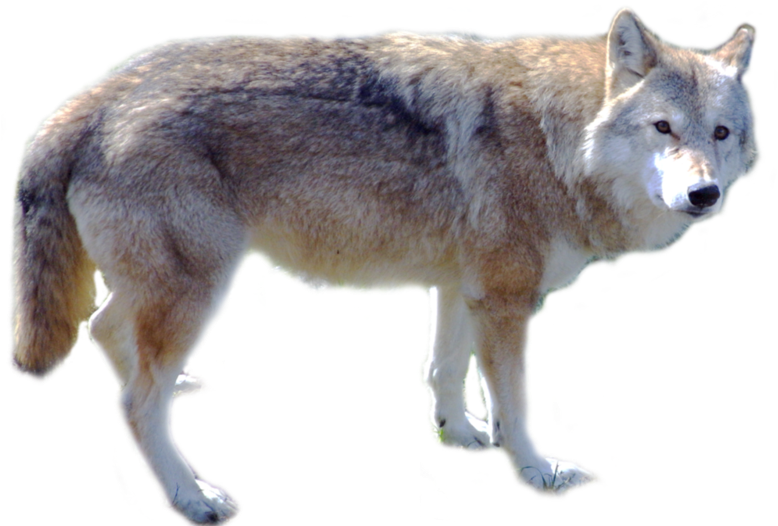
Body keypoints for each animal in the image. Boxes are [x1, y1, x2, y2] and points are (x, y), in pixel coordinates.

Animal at [8, 6, 758, 522]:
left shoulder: (461, 286)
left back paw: (177, 395)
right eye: (663, 128)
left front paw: (461, 437)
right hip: (205, 286)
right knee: (134, 401)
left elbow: (443, 371)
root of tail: (90, 97)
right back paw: (193, 499)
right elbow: (515, 406)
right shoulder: (507, 298)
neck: (560, 138)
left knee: (108, 335)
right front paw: (537, 474)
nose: (704, 195)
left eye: (721, 134)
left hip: (171, 290)